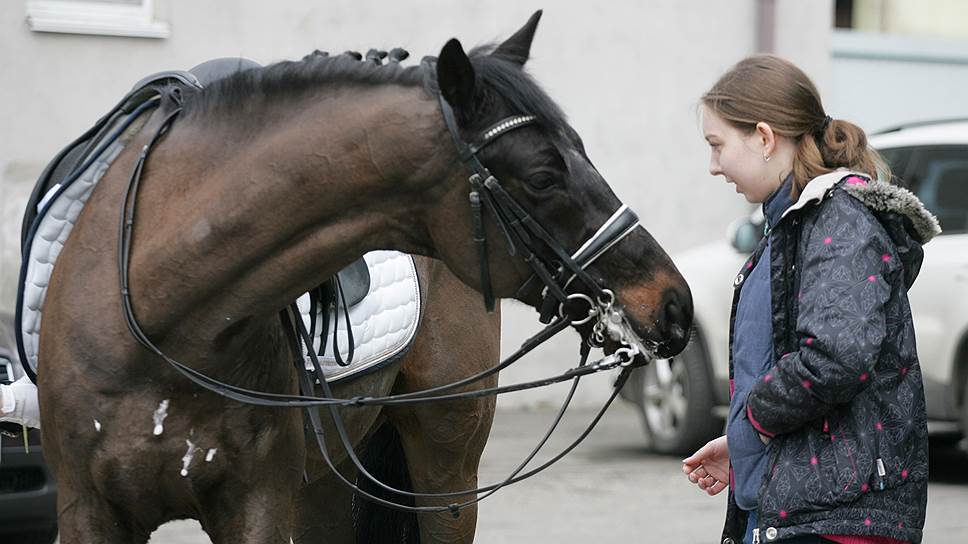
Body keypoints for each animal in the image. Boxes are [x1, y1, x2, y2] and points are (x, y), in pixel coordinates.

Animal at [34, 9, 692, 544]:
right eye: (543, 177)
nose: (674, 305)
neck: (161, 318)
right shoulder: (88, 510)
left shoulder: (256, 504)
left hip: (445, 472)